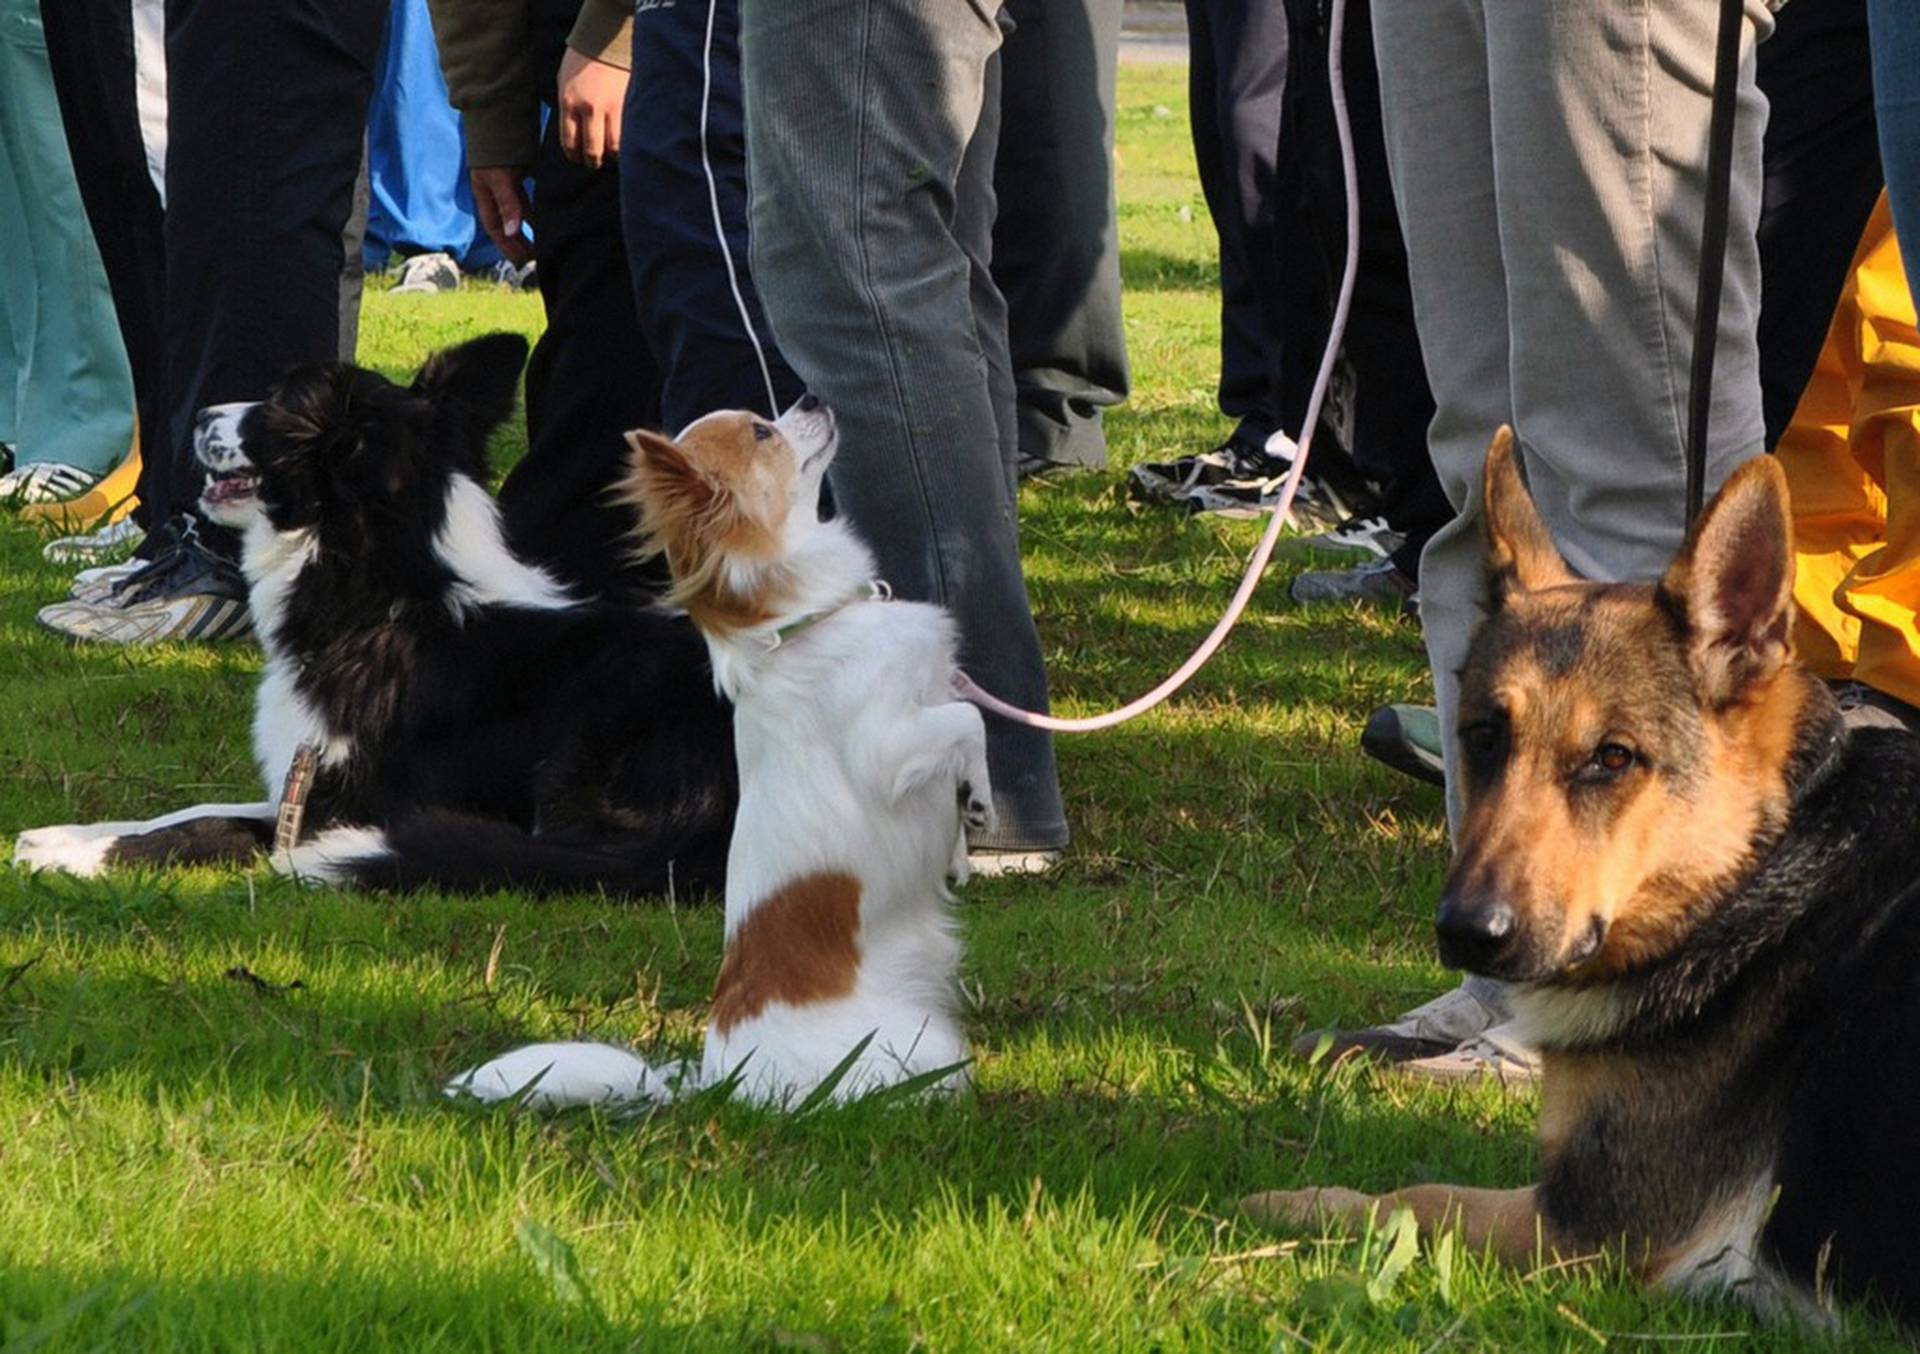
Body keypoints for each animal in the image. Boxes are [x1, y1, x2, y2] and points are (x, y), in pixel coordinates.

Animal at [16, 332, 733, 891]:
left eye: (280, 403)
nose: (199, 414)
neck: (389, 596)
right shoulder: (300, 782)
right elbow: (193, 809)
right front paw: (67, 834)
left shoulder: (345, 805)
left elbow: (210, 826)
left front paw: (79, 855)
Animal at [449, 393, 990, 1106]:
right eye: (763, 433)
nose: (811, 395)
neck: (803, 625)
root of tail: (719, 1082)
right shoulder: (889, 747)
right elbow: (968, 719)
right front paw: (981, 802)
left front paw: (960, 844)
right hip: (923, 1046)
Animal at [1244, 428, 1920, 1329]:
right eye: (1482, 736)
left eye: (1613, 758)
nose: (1468, 933)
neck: (1759, 866)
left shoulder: (1589, 1228)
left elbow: (1419, 1198)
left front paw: (1291, 1203)